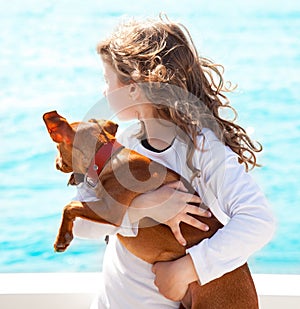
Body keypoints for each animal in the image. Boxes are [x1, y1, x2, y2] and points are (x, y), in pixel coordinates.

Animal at [43, 110, 258, 308]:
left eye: (57, 146)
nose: (55, 162)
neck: (107, 158)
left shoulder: (110, 211)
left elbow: (69, 206)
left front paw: (61, 239)